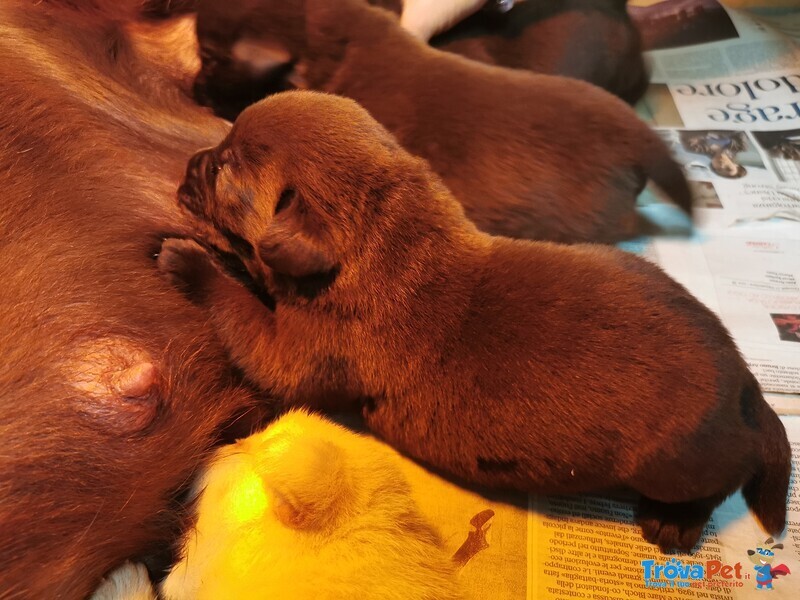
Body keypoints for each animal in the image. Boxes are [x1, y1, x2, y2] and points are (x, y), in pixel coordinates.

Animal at [159, 91, 792, 556]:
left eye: (223, 169)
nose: (186, 165)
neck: (380, 237)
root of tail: (746, 383)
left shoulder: (297, 349)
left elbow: (243, 315)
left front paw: (190, 259)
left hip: (676, 463)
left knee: (725, 479)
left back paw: (675, 524)